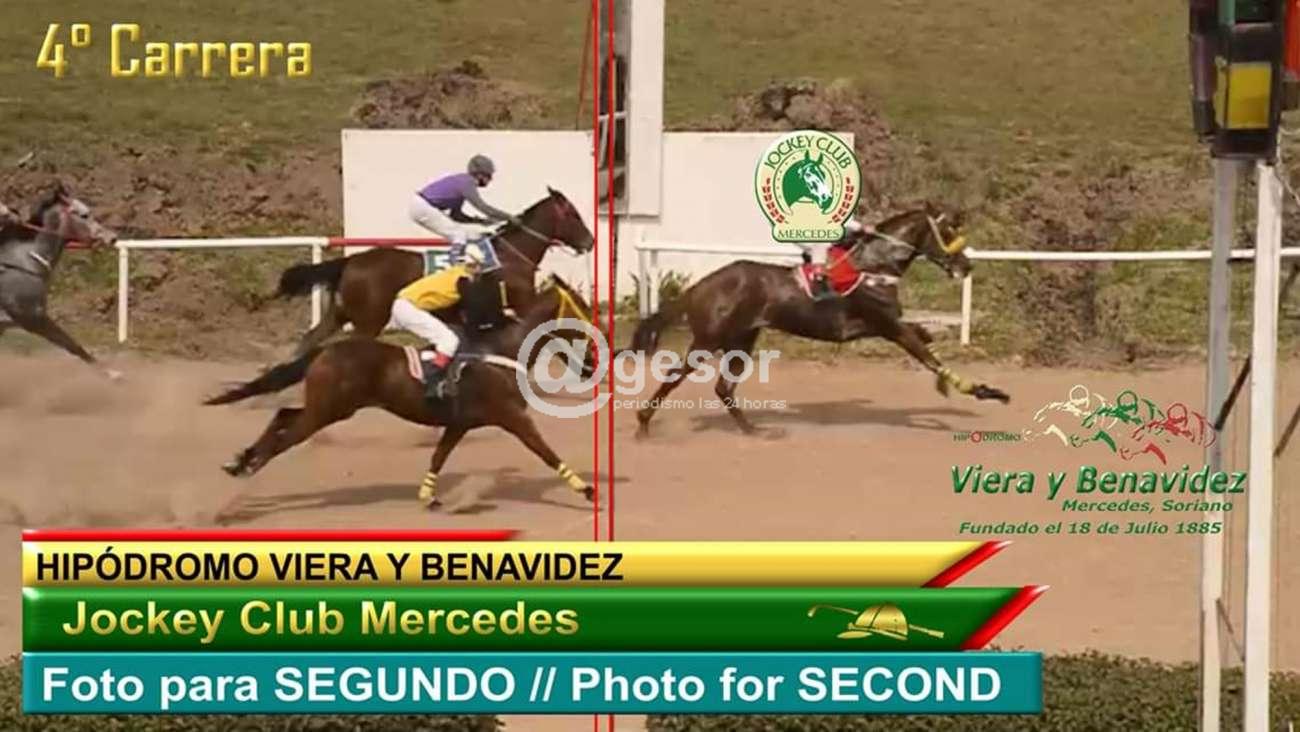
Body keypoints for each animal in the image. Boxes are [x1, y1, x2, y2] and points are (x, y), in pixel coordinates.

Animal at [0, 182, 119, 378]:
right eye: (84, 214)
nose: (111, 237)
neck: (26, 262)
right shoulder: (34, 318)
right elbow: (73, 345)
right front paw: (113, 374)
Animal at [205, 275, 598, 509]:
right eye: (583, 310)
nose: (597, 354)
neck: (502, 350)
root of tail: (326, 351)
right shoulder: (511, 416)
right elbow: (545, 451)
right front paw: (586, 489)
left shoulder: (461, 423)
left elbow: (439, 456)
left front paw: (428, 496)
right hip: (328, 410)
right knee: (285, 436)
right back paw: (247, 467)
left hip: (327, 407)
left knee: (284, 415)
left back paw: (239, 459)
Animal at [274, 187, 594, 357]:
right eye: (573, 215)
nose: (590, 241)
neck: (510, 256)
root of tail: (350, 262)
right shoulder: (523, 301)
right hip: (368, 320)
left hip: (341, 314)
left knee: (308, 340)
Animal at [623, 204, 1010, 436]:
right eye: (948, 232)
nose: (966, 265)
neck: (872, 267)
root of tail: (701, 285)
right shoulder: (888, 327)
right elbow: (929, 357)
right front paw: (986, 391)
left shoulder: (885, 326)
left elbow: (927, 341)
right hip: (709, 340)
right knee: (675, 376)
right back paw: (642, 423)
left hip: (743, 339)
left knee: (723, 388)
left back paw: (752, 429)